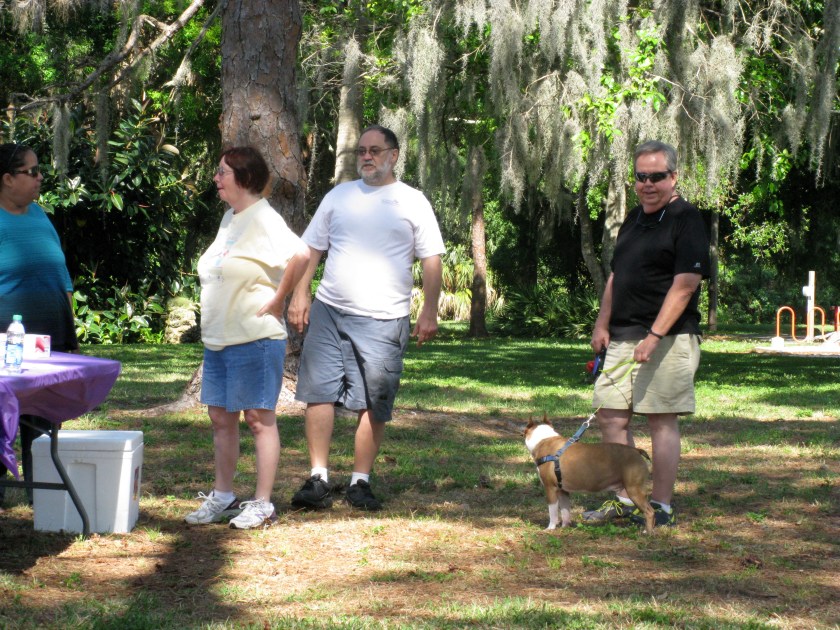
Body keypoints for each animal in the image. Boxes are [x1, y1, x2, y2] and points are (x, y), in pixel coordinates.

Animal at [524, 415, 655, 532]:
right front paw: (565, 527)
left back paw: (647, 532)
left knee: (649, 511)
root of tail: (636, 451)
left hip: (633, 489)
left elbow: (553, 512)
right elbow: (565, 510)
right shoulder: (563, 491)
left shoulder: (550, 488)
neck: (544, 439)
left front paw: (550, 528)